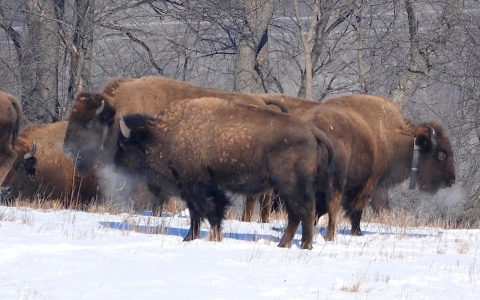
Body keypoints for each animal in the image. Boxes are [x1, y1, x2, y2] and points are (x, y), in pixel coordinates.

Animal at [62, 95, 334, 250]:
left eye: (123, 144)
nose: (116, 163)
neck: (165, 133)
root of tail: (312, 131)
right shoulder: (194, 187)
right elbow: (200, 212)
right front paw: (195, 238)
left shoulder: (194, 185)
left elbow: (207, 209)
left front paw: (204, 237)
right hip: (287, 188)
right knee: (297, 213)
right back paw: (284, 245)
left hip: (291, 184)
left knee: (304, 210)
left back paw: (304, 246)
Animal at [300, 95, 458, 240]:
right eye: (441, 155)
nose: (451, 180)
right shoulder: (371, 182)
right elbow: (357, 208)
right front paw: (358, 233)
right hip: (335, 181)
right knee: (332, 204)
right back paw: (329, 236)